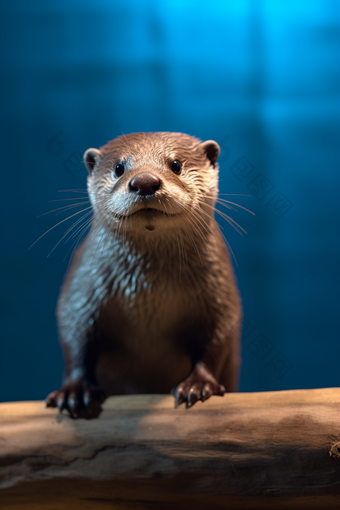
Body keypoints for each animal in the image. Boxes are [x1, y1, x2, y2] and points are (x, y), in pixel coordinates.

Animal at [45, 131, 242, 418]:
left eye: (176, 164)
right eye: (118, 167)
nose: (145, 182)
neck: (149, 292)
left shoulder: (220, 295)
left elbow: (218, 338)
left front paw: (198, 384)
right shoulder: (82, 292)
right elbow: (75, 337)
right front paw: (75, 390)